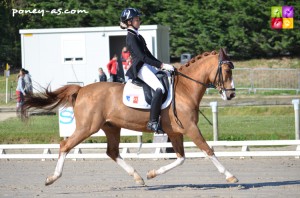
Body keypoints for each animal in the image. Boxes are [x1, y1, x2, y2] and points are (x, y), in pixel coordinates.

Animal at [21, 47, 238, 186]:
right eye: (227, 70)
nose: (231, 95)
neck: (184, 89)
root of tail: (81, 90)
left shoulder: (175, 132)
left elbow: (181, 159)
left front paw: (152, 174)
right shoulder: (191, 128)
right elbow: (208, 150)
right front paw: (231, 176)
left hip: (111, 127)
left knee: (112, 152)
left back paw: (138, 177)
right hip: (87, 127)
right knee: (65, 145)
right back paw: (52, 178)